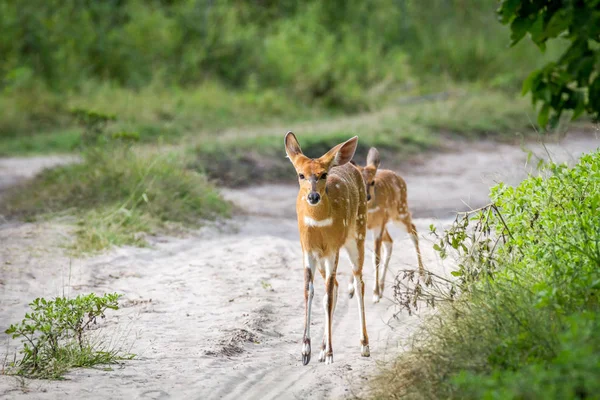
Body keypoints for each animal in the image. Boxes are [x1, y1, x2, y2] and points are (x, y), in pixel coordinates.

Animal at [284, 132, 368, 366]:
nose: (313, 197)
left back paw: (364, 346)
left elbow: (328, 296)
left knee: (358, 282)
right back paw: (321, 350)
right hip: (324, 257)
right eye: (301, 174)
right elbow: (309, 291)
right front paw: (306, 351)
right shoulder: (308, 250)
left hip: (358, 234)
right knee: (336, 286)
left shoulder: (332, 248)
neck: (319, 224)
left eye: (323, 175)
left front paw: (330, 352)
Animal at [354, 148, 424, 304]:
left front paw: (374, 294)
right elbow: (358, 257)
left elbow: (375, 257)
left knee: (413, 230)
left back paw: (423, 275)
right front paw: (352, 291)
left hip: (400, 212)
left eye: (372, 182)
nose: (367, 196)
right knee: (390, 241)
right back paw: (381, 287)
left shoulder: (378, 226)